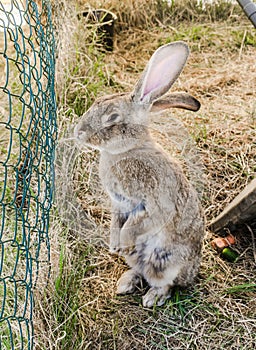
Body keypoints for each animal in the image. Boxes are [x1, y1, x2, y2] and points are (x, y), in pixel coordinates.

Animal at [74, 42, 204, 308]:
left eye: (112, 117)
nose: (78, 132)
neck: (128, 150)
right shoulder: (118, 205)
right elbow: (117, 223)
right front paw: (114, 246)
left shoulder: (152, 206)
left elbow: (133, 226)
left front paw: (121, 244)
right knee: (140, 270)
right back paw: (125, 283)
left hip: (167, 263)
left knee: (165, 283)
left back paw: (152, 298)